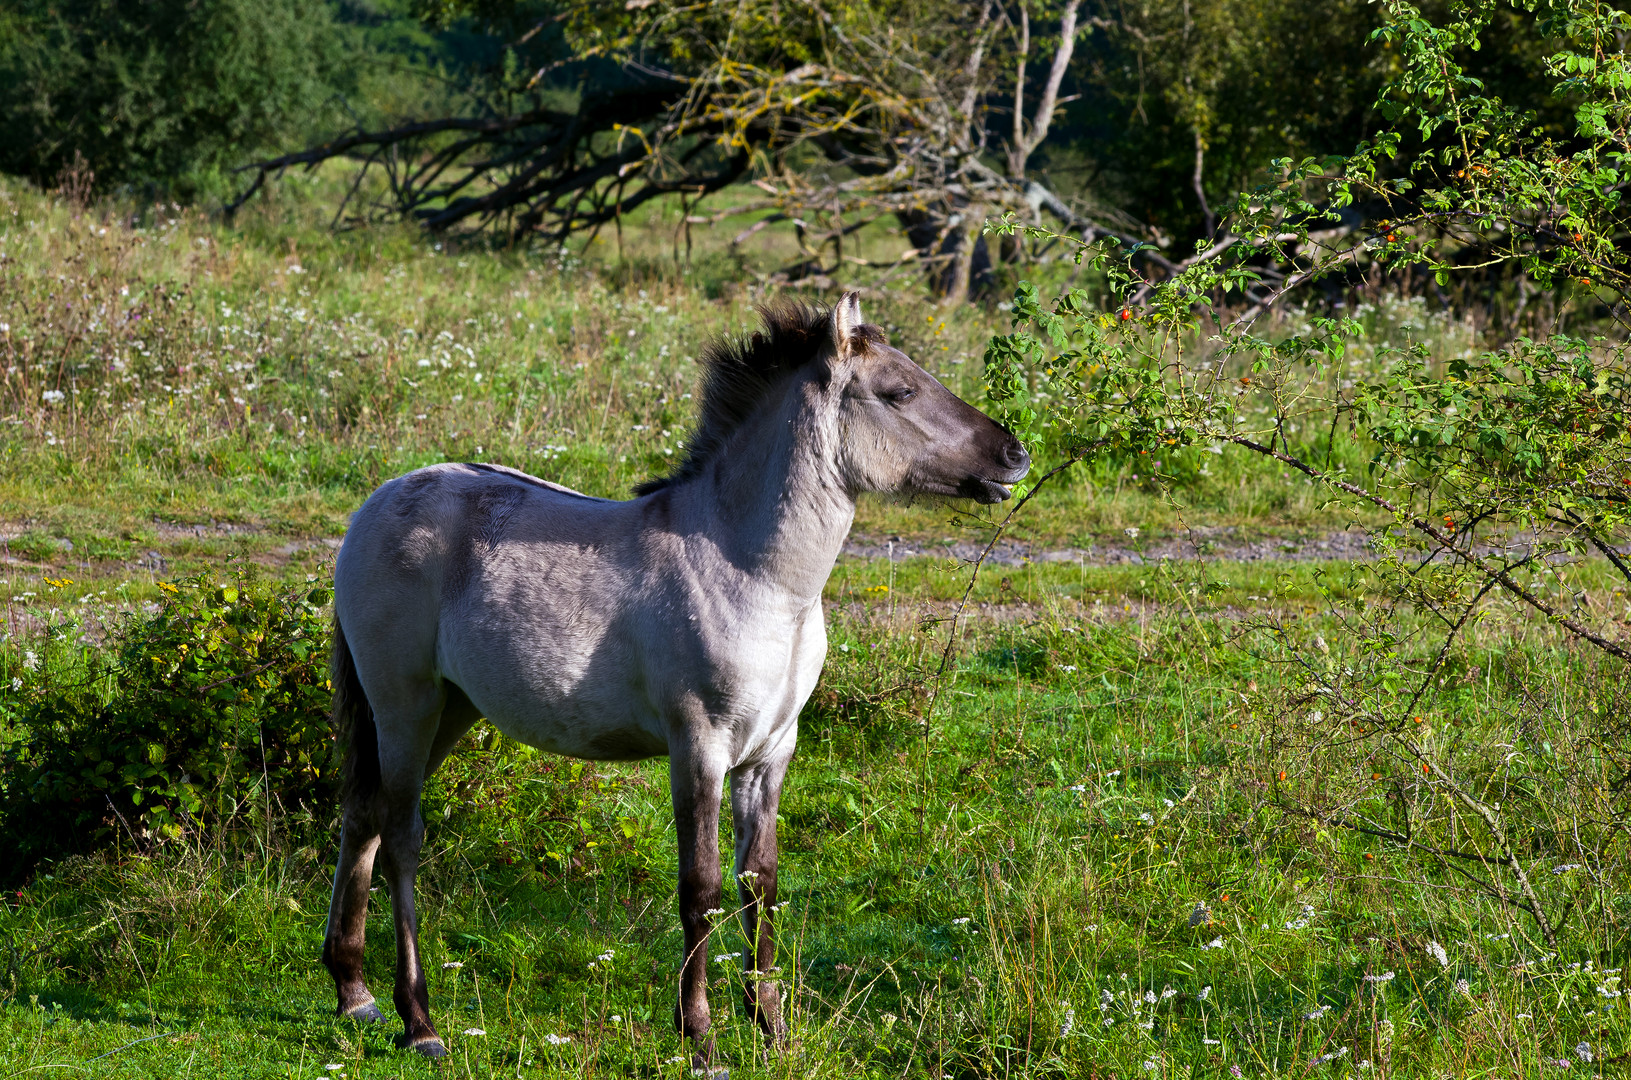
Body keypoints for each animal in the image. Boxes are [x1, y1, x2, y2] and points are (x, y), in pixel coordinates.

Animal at [322, 293, 1024, 1063]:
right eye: (900, 392)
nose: (1013, 454)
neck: (755, 576)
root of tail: (376, 505)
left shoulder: (771, 753)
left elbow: (759, 883)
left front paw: (772, 1028)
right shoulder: (699, 747)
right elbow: (702, 889)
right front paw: (701, 1038)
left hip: (450, 710)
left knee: (361, 813)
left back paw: (353, 992)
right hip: (405, 704)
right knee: (401, 832)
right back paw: (418, 1020)